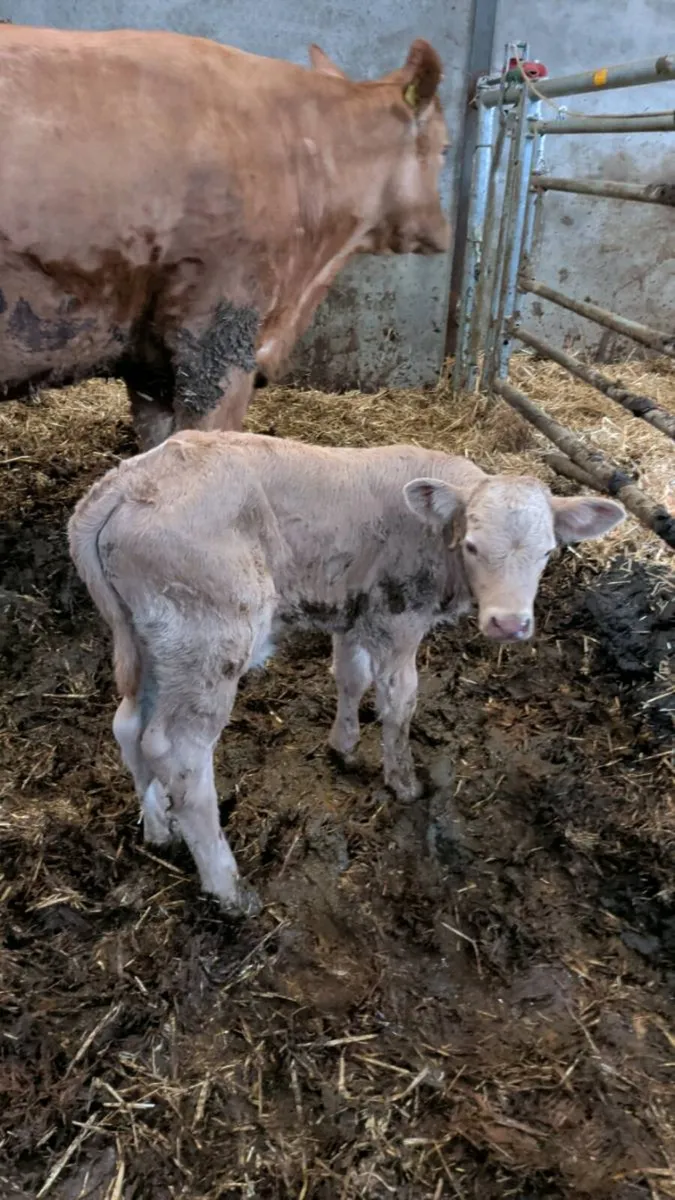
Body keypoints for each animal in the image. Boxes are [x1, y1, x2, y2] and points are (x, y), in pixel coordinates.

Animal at [68, 431, 626, 915]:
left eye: (548, 551)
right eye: (471, 544)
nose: (509, 624)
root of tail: (128, 481)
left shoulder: (355, 610)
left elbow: (349, 675)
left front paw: (344, 745)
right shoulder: (400, 620)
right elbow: (399, 700)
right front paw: (403, 782)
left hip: (150, 641)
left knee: (130, 726)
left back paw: (158, 828)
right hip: (208, 637)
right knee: (179, 752)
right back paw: (227, 888)